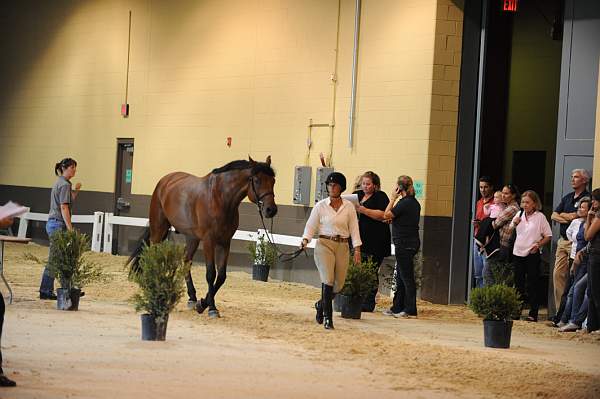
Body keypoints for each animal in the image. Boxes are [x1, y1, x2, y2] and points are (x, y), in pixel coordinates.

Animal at [127, 156, 278, 318]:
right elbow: (211, 274)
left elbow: (221, 276)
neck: (220, 199)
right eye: (257, 180)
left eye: (273, 181)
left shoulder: (225, 242)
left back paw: (192, 298)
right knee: (151, 255)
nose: (271, 210)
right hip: (158, 229)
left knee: (186, 261)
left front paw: (202, 304)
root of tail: (164, 181)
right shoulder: (208, 241)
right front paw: (211, 308)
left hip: (191, 238)